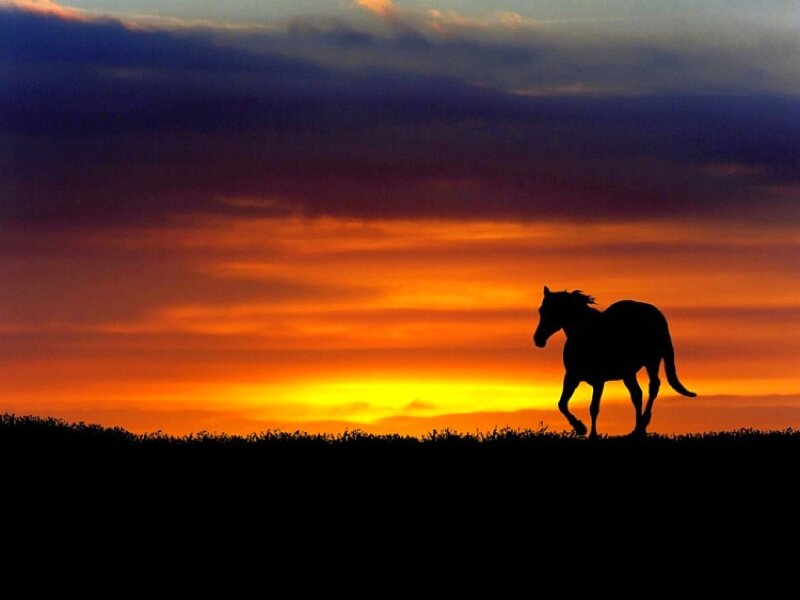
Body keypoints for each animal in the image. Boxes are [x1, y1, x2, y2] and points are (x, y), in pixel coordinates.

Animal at [533, 287, 696, 438]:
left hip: (652, 361)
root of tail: (656, 314)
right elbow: (562, 404)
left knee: (653, 387)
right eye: (541, 310)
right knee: (637, 394)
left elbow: (594, 408)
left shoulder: (598, 380)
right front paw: (580, 428)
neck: (584, 334)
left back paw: (643, 424)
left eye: (553, 311)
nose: (538, 339)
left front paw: (592, 434)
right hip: (628, 373)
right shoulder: (572, 376)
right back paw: (637, 430)